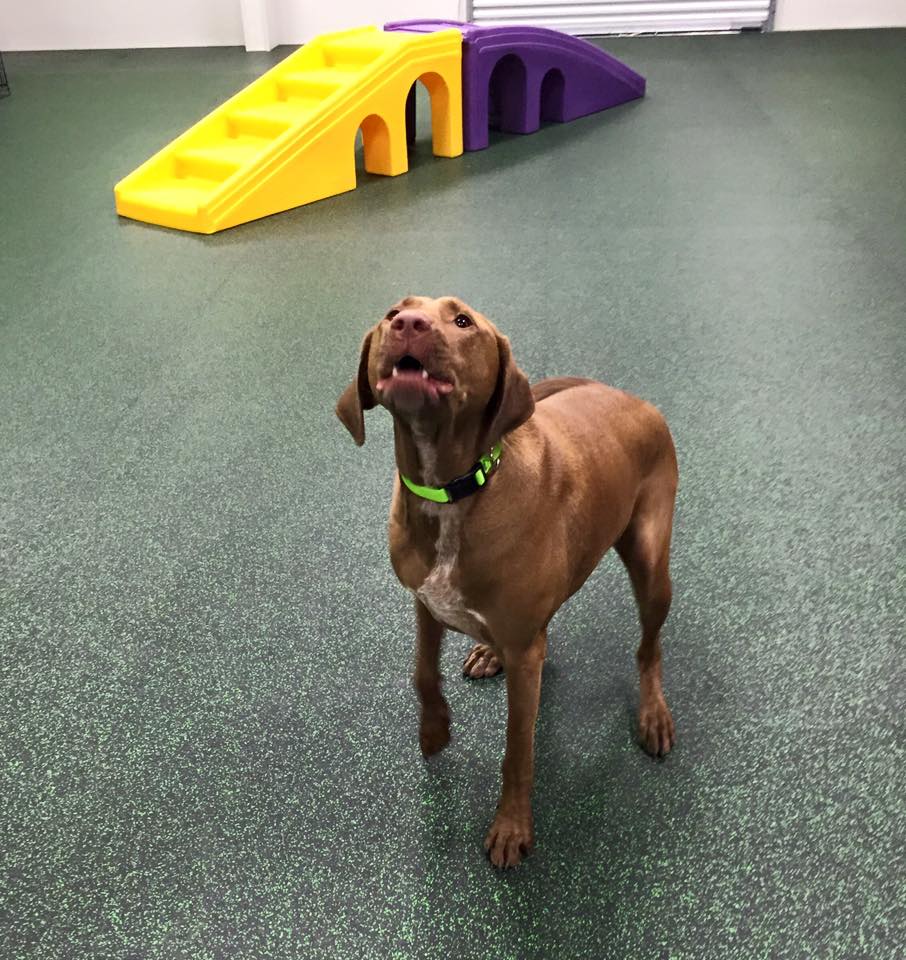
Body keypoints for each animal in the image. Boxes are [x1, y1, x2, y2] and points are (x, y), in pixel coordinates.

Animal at [336, 296, 678, 868]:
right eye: (392, 312)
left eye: (462, 322)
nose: (407, 324)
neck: (451, 491)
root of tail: (630, 397)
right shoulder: (425, 603)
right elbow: (422, 674)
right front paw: (434, 729)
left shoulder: (523, 656)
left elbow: (518, 748)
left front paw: (512, 826)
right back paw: (488, 652)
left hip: (652, 567)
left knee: (648, 649)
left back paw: (653, 713)